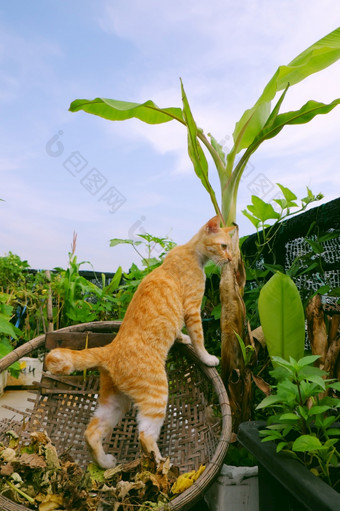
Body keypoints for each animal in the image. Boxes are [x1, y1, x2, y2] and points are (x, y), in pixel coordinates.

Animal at [44, 216, 234, 468]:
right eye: (223, 246)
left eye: (230, 248)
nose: (230, 259)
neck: (191, 252)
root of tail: (110, 350)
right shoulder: (193, 310)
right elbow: (199, 339)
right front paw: (207, 357)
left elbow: (180, 331)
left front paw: (181, 338)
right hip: (157, 395)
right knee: (145, 435)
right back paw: (163, 467)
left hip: (115, 402)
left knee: (91, 433)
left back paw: (106, 463)